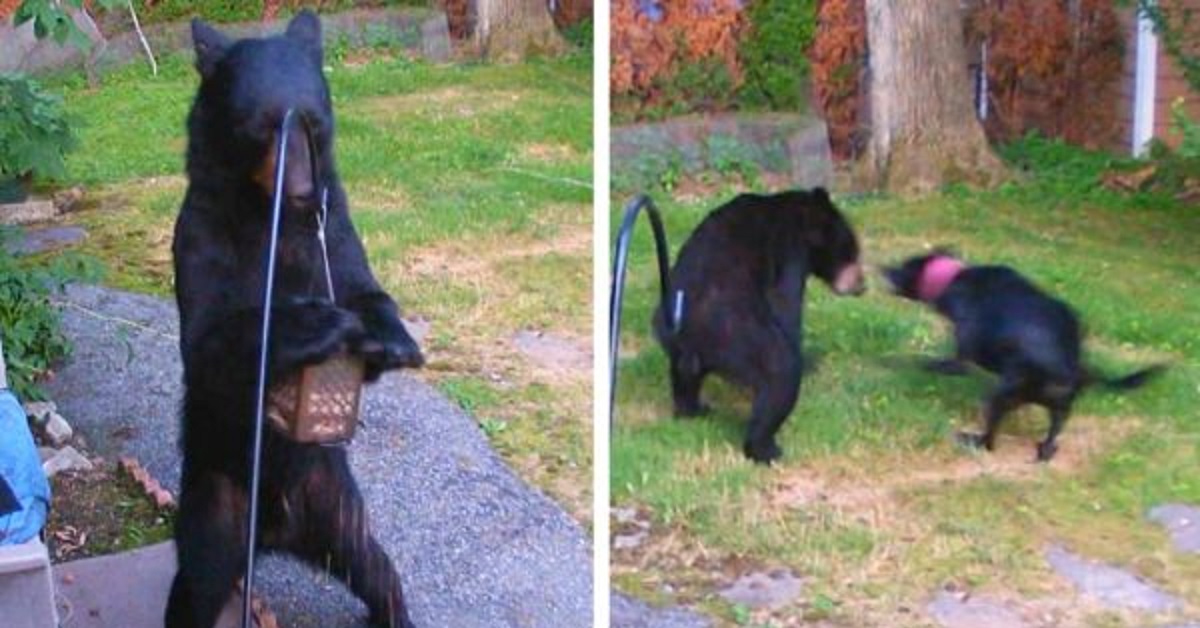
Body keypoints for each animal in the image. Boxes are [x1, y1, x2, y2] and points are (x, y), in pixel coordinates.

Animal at [164, 11, 424, 628]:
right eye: (261, 129)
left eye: (314, 124)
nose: (303, 190)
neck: (272, 214)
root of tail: (279, 534)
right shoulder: (203, 235)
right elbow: (209, 338)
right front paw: (318, 326)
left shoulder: (335, 226)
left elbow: (361, 284)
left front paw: (392, 339)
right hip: (217, 500)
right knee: (196, 585)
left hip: (336, 503)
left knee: (376, 569)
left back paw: (389, 610)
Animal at [652, 189, 868, 463]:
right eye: (851, 252)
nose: (862, 285)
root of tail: (687, 333)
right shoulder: (788, 251)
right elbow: (785, 306)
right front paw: (810, 358)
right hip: (740, 338)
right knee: (780, 373)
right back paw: (765, 449)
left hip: (674, 343)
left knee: (684, 376)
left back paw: (693, 409)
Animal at [883, 250, 1161, 461]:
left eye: (905, 266)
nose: (883, 267)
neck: (958, 278)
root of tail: (1068, 369)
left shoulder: (959, 359)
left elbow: (922, 361)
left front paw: (889, 361)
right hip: (1060, 408)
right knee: (1053, 433)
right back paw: (1046, 450)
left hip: (1000, 396)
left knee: (990, 440)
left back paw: (972, 440)